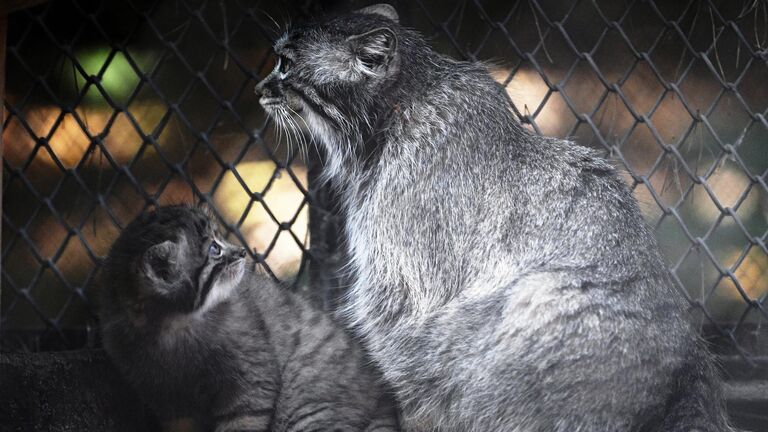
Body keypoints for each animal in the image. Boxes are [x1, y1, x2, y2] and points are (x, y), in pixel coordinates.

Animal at [100, 206, 400, 432]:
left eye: (220, 239)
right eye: (214, 249)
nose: (242, 252)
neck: (170, 327)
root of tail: (386, 407)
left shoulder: (251, 383)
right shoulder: (168, 401)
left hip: (309, 408)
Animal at [256, 3, 736, 432]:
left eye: (284, 63)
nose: (260, 88)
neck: (403, 107)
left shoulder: (404, 285)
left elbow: (398, 353)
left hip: (529, 300)